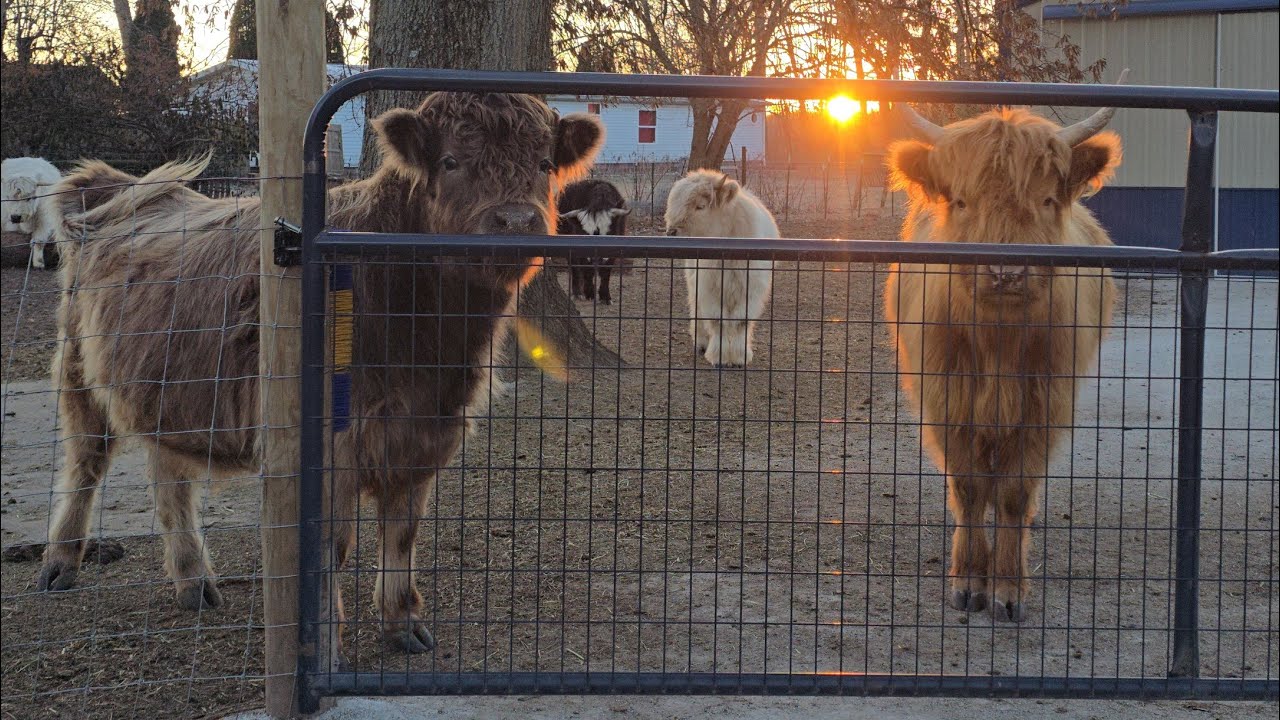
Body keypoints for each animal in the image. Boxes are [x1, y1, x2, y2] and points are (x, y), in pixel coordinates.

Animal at [35, 92, 604, 656]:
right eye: (450, 161)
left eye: (544, 164)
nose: (516, 221)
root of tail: (122, 186)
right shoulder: (332, 444)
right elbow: (330, 544)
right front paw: (325, 643)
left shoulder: (426, 431)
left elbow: (402, 530)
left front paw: (401, 621)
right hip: (78, 370)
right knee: (85, 464)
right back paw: (59, 565)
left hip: (168, 392)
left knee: (169, 475)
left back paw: (194, 582)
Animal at [665, 169, 777, 368]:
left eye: (700, 206)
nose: (671, 232)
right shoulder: (709, 289)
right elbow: (718, 321)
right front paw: (719, 356)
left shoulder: (750, 291)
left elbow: (741, 322)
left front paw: (739, 357)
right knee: (696, 307)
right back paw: (701, 342)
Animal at [883, 89, 1123, 623]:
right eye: (961, 201)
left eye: (1046, 200)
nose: (1005, 271)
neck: (998, 344)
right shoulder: (947, 399)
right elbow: (970, 487)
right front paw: (970, 581)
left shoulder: (1044, 403)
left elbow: (1013, 493)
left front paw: (1008, 589)